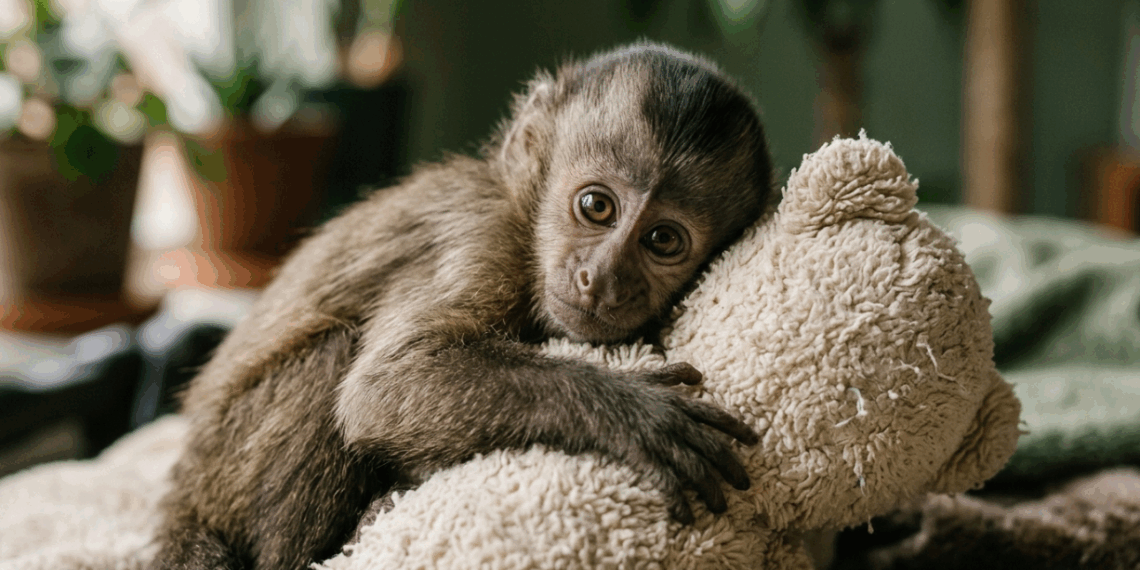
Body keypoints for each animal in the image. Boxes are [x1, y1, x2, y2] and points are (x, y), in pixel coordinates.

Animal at [151, 41, 774, 570]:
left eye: (663, 240)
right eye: (597, 207)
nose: (602, 279)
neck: (524, 219)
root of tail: (182, 488)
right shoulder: (483, 236)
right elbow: (384, 386)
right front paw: (632, 411)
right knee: (333, 352)